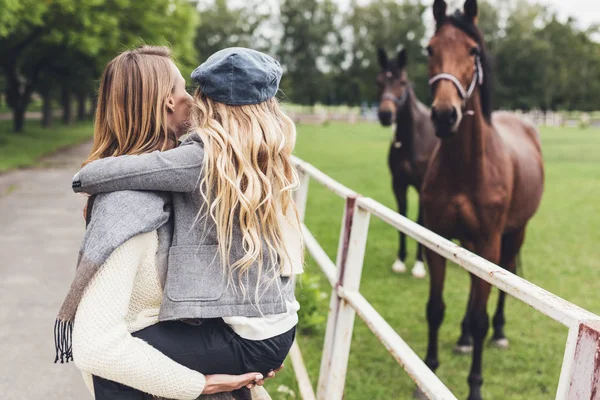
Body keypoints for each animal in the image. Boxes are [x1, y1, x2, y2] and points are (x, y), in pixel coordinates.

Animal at [378, 47, 438, 278]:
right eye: (378, 81)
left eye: (402, 82)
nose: (385, 114)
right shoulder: (398, 184)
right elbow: (402, 217)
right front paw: (400, 260)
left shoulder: (422, 188)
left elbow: (420, 222)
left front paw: (419, 265)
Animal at [422, 0, 544, 400]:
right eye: (430, 49)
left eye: (473, 51)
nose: (445, 115)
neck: (465, 168)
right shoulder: (438, 240)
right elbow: (436, 308)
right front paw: (427, 373)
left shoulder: (490, 242)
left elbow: (480, 318)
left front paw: (475, 385)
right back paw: (461, 338)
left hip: (513, 234)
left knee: (503, 278)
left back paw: (500, 332)